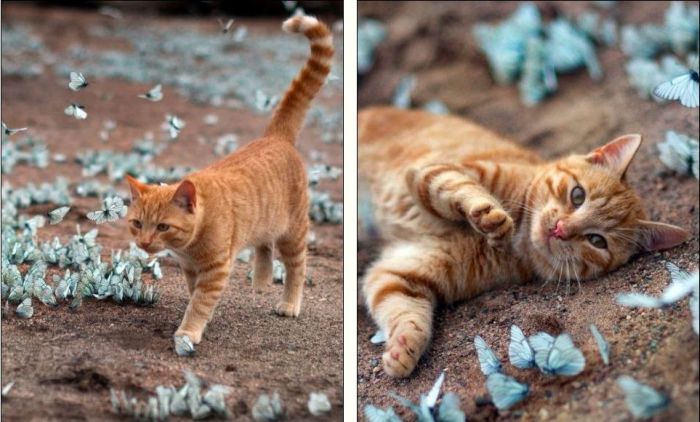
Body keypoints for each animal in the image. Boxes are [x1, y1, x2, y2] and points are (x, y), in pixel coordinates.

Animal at [126, 14, 334, 354]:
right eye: (136, 223)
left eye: (162, 227)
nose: (143, 243)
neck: (189, 245)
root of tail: (275, 136)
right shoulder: (191, 269)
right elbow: (194, 294)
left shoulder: (214, 269)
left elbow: (199, 303)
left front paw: (189, 331)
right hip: (264, 220)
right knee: (263, 244)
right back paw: (261, 281)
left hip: (292, 232)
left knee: (296, 266)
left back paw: (289, 302)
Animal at [360, 107, 688, 378]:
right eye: (578, 195)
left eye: (597, 241)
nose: (560, 229)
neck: (518, 239)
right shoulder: (433, 172)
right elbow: (461, 186)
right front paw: (490, 216)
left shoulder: (406, 271)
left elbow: (404, 311)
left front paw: (403, 348)